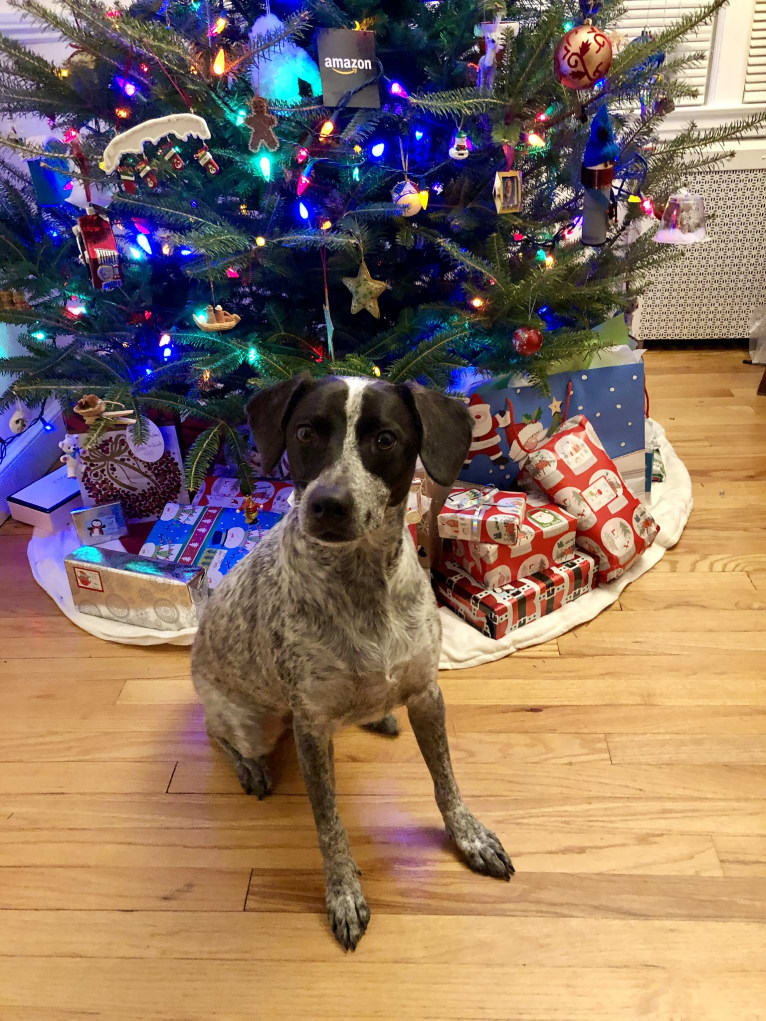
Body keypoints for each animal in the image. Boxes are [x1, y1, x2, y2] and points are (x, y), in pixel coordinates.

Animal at [192, 373, 516, 947]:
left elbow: (447, 783)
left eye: (385, 439)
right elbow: (329, 824)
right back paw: (250, 767)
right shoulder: (312, 727)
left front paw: (470, 837)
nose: (327, 504)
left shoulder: (426, 695)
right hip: (252, 723)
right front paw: (343, 892)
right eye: (305, 432)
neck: (362, 586)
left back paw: (378, 715)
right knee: (216, 733)